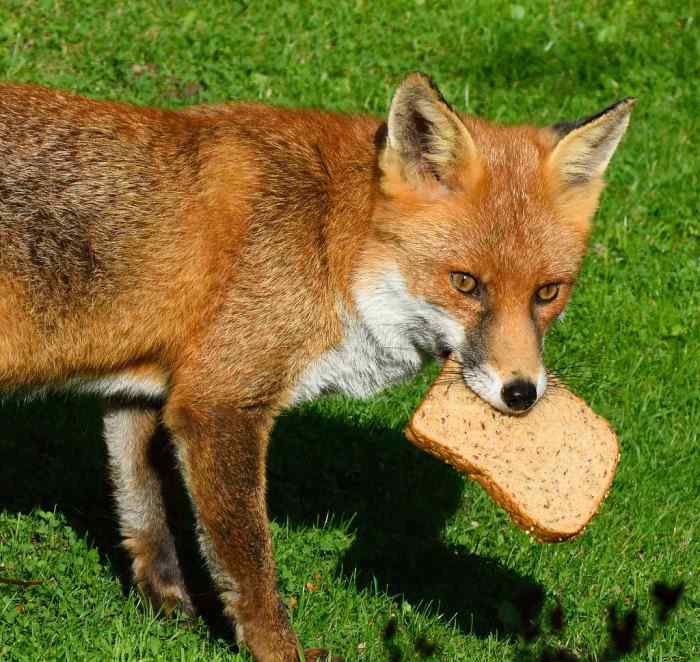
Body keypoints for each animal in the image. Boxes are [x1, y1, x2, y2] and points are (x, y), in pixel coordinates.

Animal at [0, 72, 634, 660]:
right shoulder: (218, 405)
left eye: (548, 293)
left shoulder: (145, 386)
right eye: (464, 283)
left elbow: (142, 508)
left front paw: (167, 606)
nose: (522, 393)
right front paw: (277, 649)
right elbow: (253, 571)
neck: (330, 241)